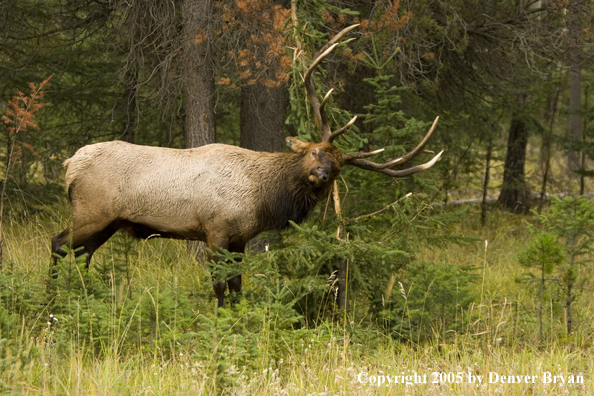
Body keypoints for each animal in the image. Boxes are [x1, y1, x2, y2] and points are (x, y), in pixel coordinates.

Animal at [51, 25, 440, 306]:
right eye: (315, 151)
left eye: (340, 167)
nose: (322, 174)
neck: (263, 199)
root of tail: (70, 164)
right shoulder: (215, 230)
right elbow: (221, 286)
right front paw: (220, 320)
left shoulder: (239, 239)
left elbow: (239, 284)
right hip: (91, 212)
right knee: (58, 244)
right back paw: (53, 300)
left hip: (107, 222)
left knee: (81, 255)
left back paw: (80, 297)